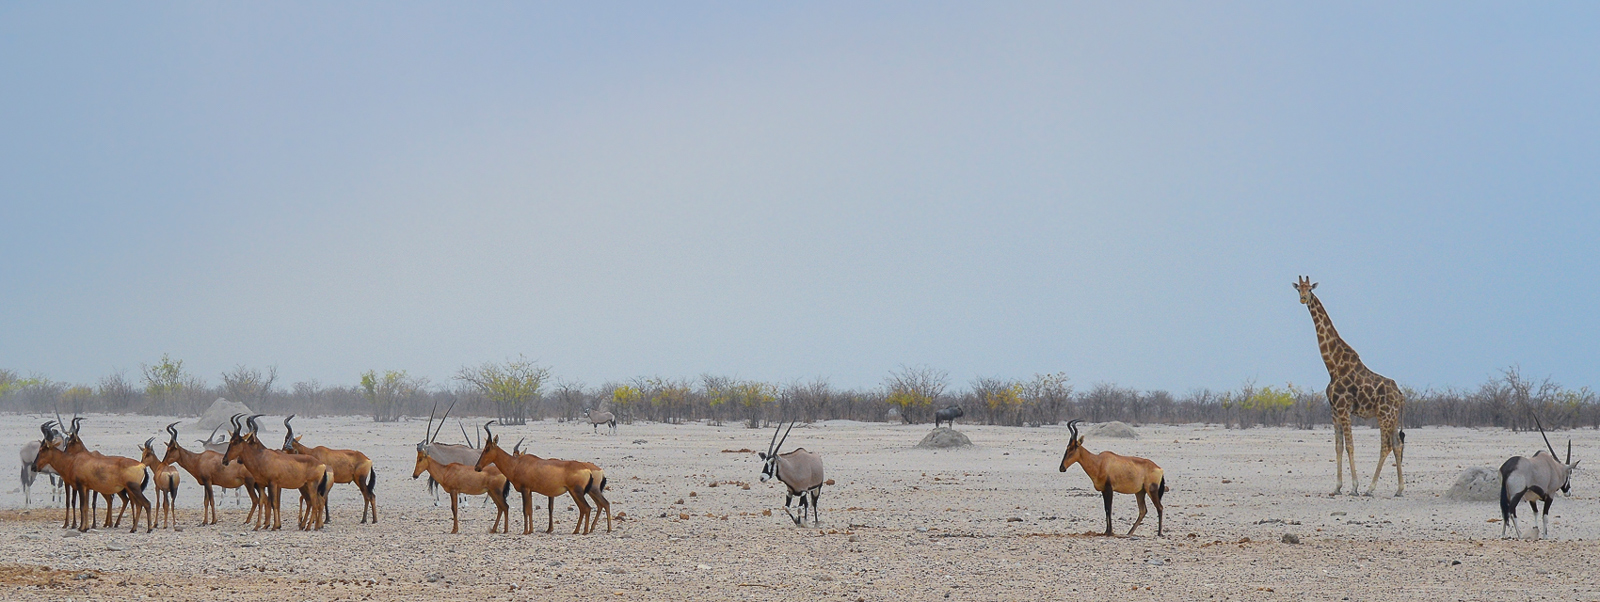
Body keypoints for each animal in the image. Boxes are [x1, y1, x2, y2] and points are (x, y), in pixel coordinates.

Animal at [470, 419, 608, 534]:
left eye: (487, 448)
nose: (477, 467)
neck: (517, 463)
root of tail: (588, 469)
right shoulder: (530, 491)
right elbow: (530, 510)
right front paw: (531, 530)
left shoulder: (525, 490)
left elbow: (525, 510)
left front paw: (525, 532)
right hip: (575, 492)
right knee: (585, 508)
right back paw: (577, 531)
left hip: (577, 492)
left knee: (587, 508)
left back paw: (584, 532)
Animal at [1292, 276, 1408, 499]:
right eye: (1298, 289)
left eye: (1310, 289)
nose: (1302, 298)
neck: (1333, 365)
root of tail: (1400, 395)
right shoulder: (1334, 410)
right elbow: (1338, 446)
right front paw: (1337, 487)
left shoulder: (1344, 408)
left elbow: (1350, 447)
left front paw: (1354, 487)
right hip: (1392, 416)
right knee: (1397, 445)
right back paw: (1399, 489)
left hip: (1384, 415)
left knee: (1386, 446)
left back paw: (1370, 488)